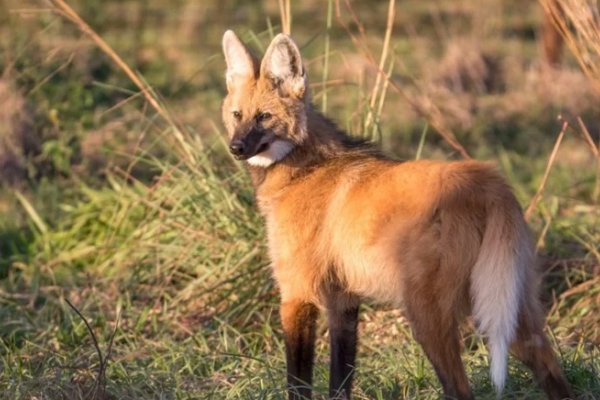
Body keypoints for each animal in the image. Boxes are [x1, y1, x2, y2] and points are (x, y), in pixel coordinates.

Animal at [220, 29, 572, 398]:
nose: (236, 148)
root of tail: (489, 182)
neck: (305, 168)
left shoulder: (297, 293)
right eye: (237, 115)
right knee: (550, 369)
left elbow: (298, 384)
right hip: (506, 305)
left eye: (264, 117)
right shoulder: (343, 301)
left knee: (460, 389)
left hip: (428, 315)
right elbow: (340, 381)